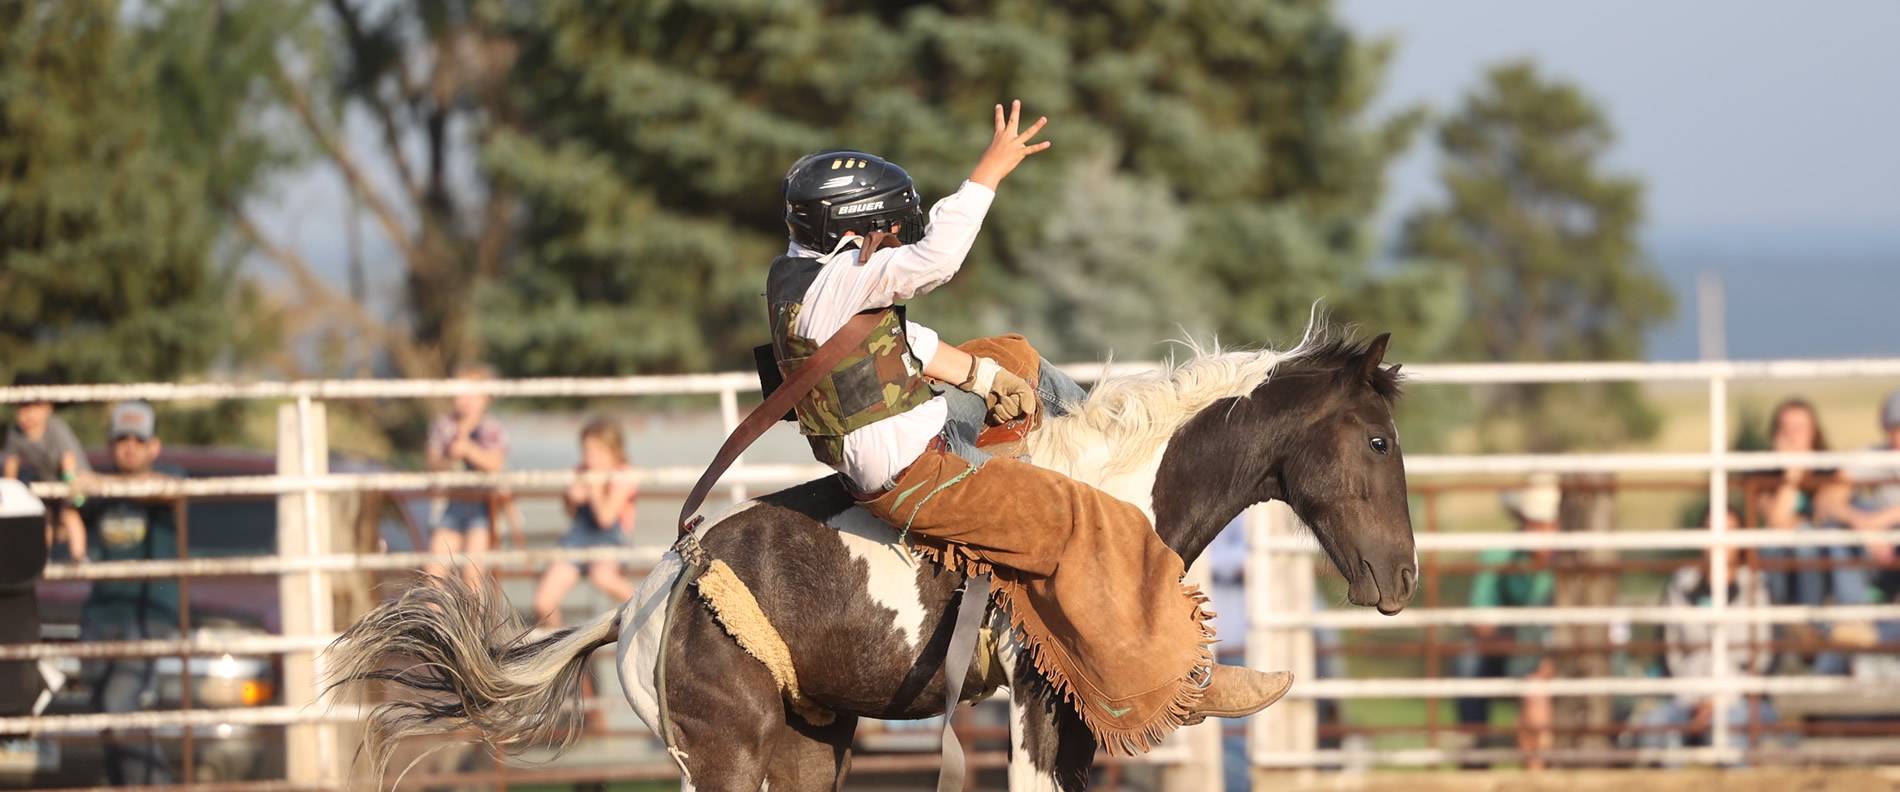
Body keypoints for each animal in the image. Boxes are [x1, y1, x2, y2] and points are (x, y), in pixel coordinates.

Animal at [326, 324, 1413, 786]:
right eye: (1376, 441)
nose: (1400, 579)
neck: (1113, 497)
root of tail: (642, 607)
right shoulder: (1039, 703)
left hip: (809, 742)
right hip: (718, 756)